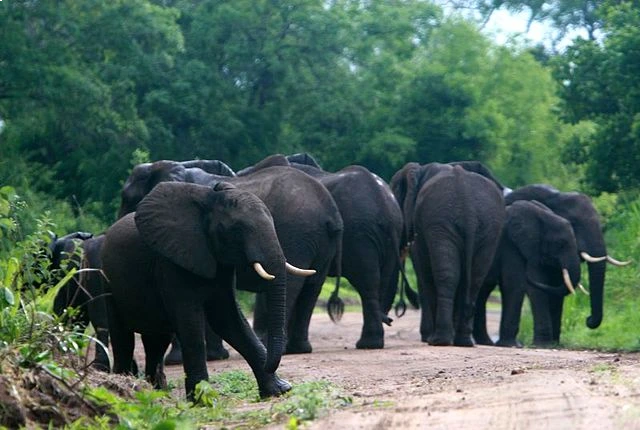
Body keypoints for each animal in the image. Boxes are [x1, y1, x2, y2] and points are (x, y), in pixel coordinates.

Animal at [102, 181, 308, 399]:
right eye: (236, 230)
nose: (272, 363)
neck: (209, 201)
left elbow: (228, 320)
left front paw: (279, 390)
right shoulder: (171, 263)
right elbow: (191, 324)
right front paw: (201, 400)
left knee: (156, 341)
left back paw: (157, 393)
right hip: (108, 282)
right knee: (123, 338)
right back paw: (123, 386)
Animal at [118, 160, 343, 356]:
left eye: (127, 198)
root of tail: (330, 210)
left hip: (298, 233)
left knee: (296, 285)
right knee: (312, 287)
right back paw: (298, 349)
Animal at [391, 162, 505, 346]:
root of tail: (467, 203)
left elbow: (423, 274)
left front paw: (427, 337)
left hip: (440, 222)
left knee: (445, 277)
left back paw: (438, 340)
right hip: (488, 227)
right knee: (474, 280)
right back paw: (463, 341)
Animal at [473, 200, 582, 347]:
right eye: (560, 243)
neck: (542, 216)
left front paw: (551, 345)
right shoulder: (510, 243)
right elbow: (516, 284)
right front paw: (517, 345)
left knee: (482, 292)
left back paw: (486, 342)